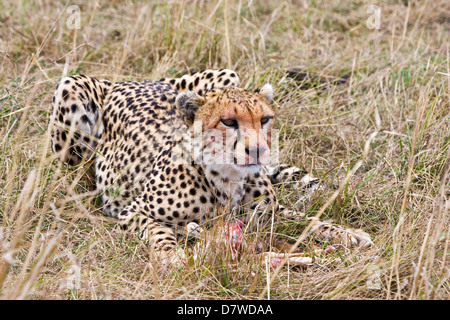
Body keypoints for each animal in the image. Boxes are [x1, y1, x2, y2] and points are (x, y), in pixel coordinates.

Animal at [49, 69, 372, 258]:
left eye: (265, 119)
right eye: (228, 122)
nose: (257, 150)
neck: (227, 178)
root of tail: (127, 81)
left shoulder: (270, 215)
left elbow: (307, 220)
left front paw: (347, 233)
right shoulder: (132, 211)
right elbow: (159, 232)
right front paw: (171, 256)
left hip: (228, 73)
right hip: (70, 90)